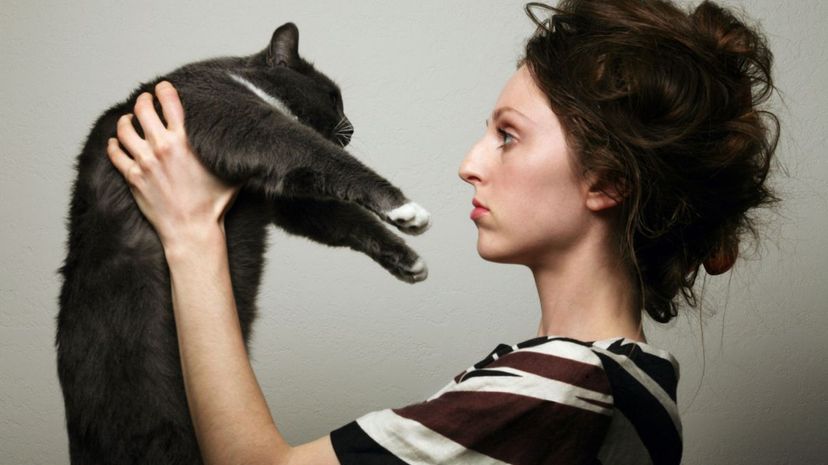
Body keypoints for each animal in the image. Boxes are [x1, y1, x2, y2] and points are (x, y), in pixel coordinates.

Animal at [57, 22, 430, 464]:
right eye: (332, 96)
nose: (352, 127)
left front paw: (407, 259)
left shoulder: (279, 195)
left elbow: (341, 217)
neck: (240, 78)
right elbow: (320, 154)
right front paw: (404, 208)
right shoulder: (232, 116)